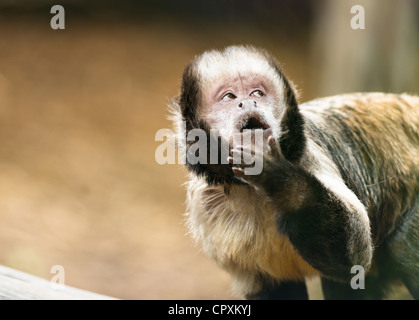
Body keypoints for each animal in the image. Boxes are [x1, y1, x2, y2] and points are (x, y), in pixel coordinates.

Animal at [170, 45, 419, 300]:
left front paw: (279, 179)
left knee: (398, 247)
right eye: (229, 97)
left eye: (257, 93)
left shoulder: (308, 156)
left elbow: (355, 255)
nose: (248, 103)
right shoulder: (205, 204)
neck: (251, 188)